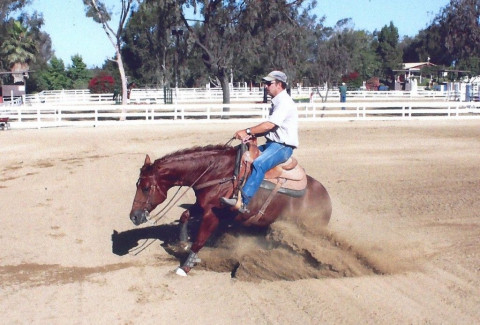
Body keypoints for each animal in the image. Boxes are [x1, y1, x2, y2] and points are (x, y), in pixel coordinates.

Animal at [127, 143, 332, 274]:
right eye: (137, 184)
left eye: (146, 187)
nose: (134, 216)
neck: (217, 173)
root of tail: (327, 200)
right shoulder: (202, 206)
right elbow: (185, 215)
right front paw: (183, 242)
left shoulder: (212, 214)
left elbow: (200, 240)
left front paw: (185, 266)